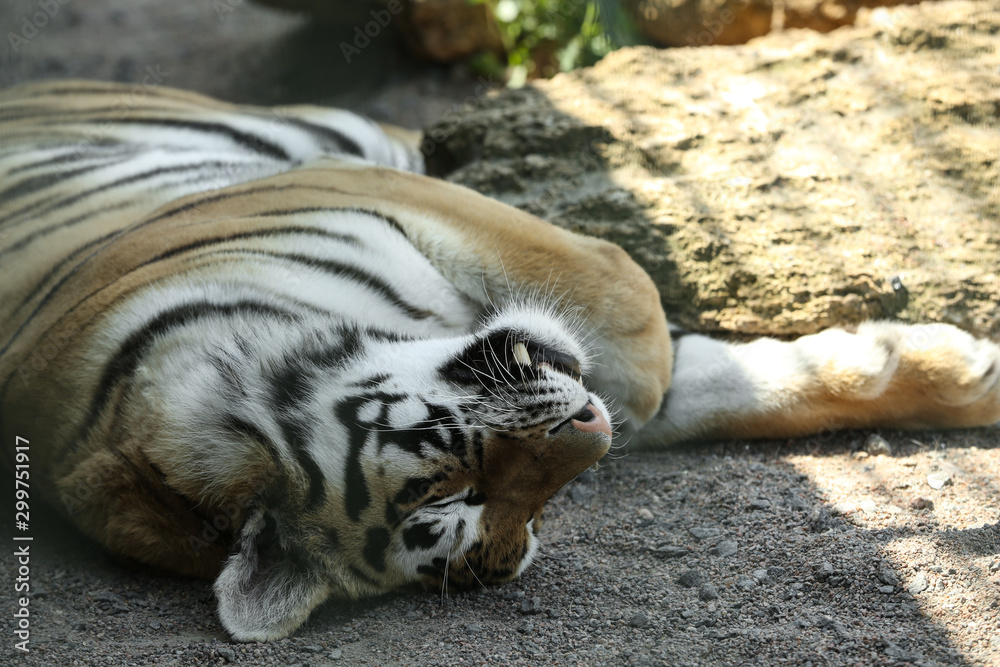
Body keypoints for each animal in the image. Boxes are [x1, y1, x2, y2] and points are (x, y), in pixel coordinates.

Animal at [1, 80, 998, 642]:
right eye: (477, 503)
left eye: (450, 480)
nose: (590, 436)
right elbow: (682, 376)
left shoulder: (375, 189)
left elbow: (635, 315)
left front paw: (967, 371)